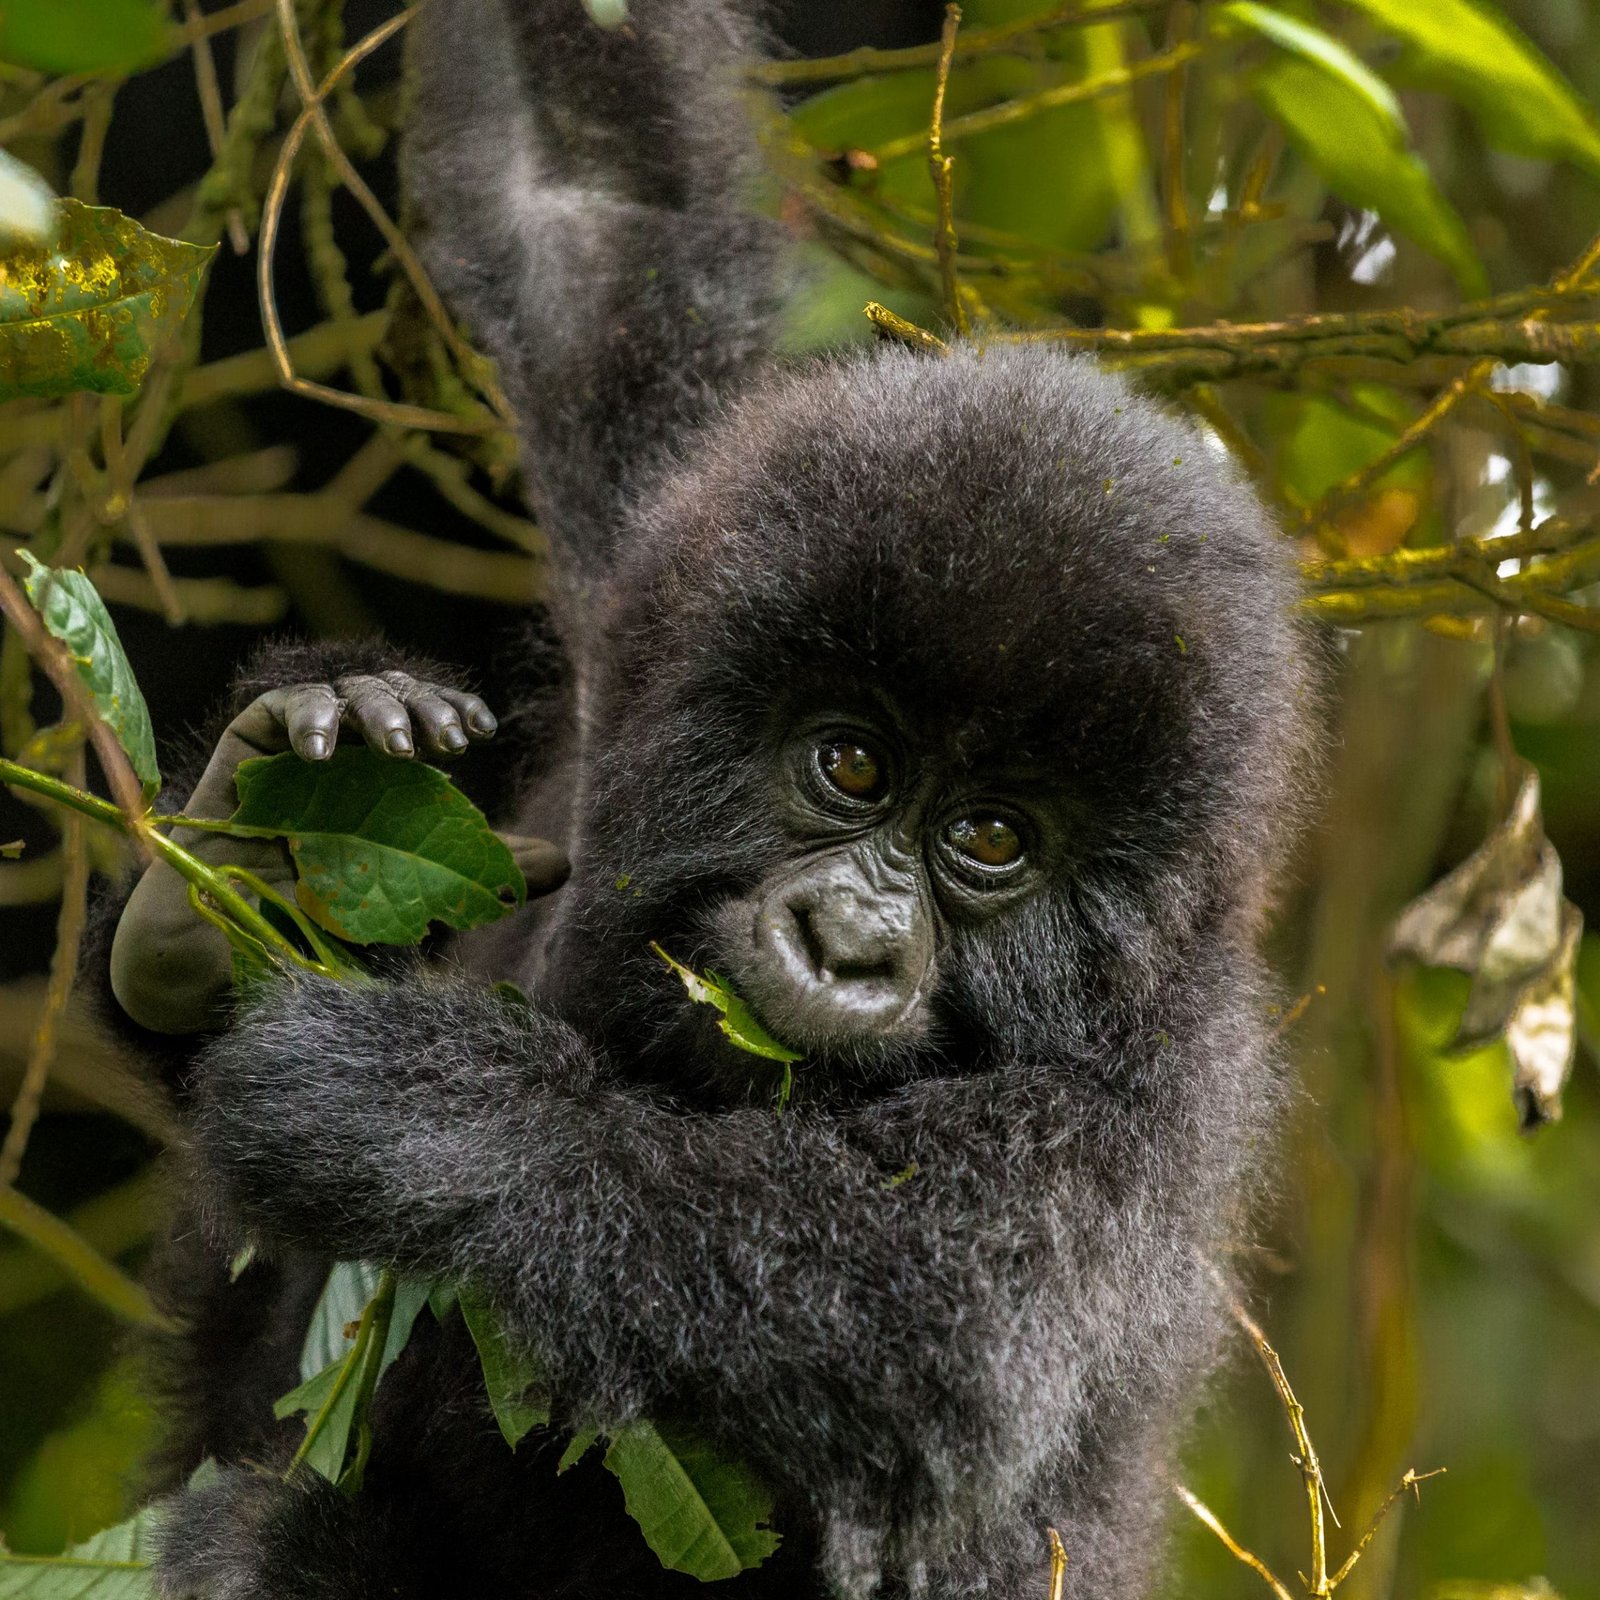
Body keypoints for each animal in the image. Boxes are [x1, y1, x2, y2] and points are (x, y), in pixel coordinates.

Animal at [104, 1, 1315, 1595]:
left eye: (993, 838)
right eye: (852, 763)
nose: (850, 943)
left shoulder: (1158, 1094)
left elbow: (927, 1327)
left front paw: (409, 1109)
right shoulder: (681, 521)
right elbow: (594, 197)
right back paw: (203, 892)